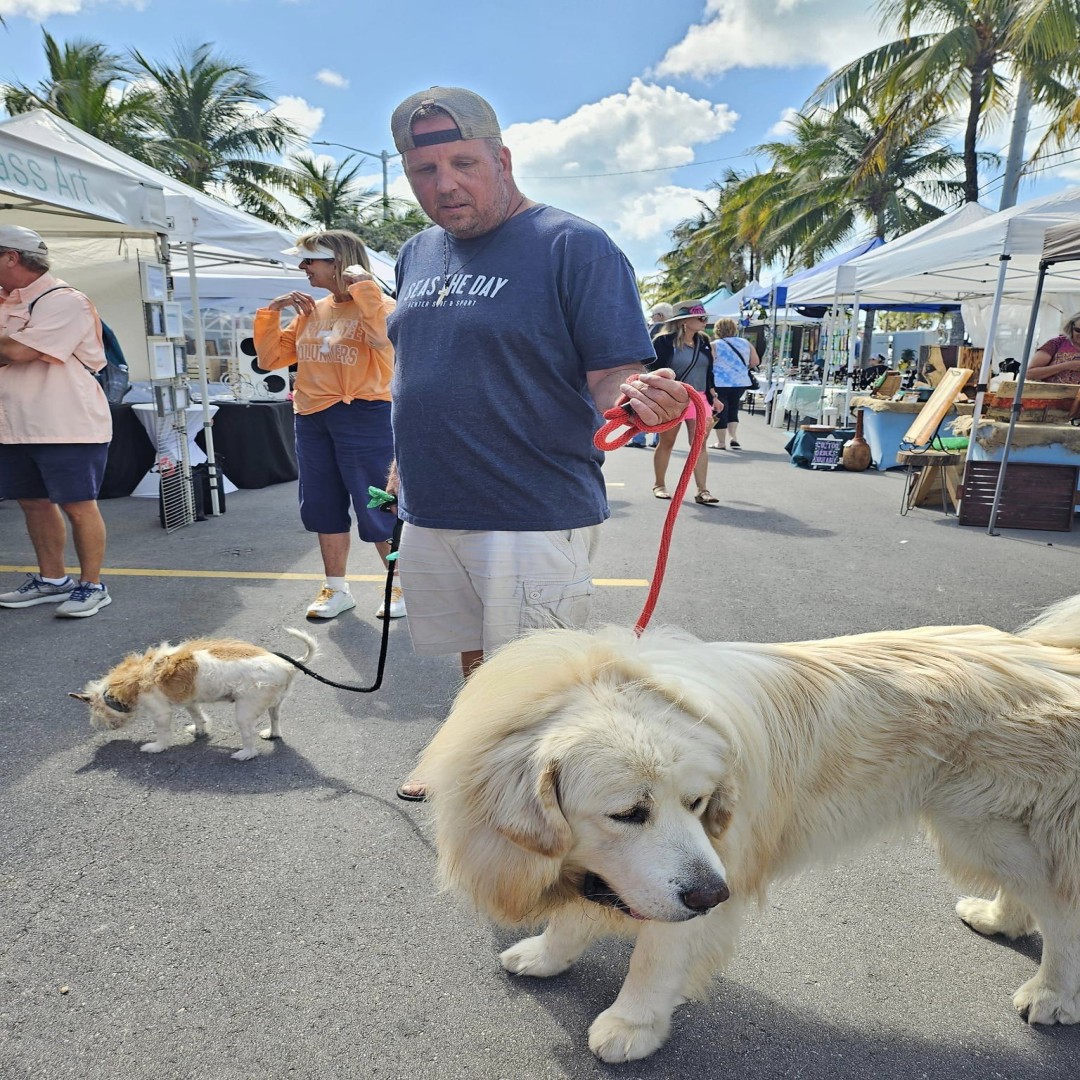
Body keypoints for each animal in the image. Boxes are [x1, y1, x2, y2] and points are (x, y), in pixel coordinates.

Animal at [70, 626, 315, 760]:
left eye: (97, 714)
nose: (104, 728)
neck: (129, 682)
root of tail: (288, 665)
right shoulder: (189, 699)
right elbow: (197, 715)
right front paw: (199, 729)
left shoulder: (160, 713)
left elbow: (163, 733)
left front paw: (156, 747)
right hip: (275, 703)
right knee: (275, 718)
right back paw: (272, 733)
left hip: (245, 711)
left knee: (249, 737)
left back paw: (245, 753)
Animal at [419, 600, 1080, 1062]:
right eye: (628, 813)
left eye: (697, 802)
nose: (713, 894)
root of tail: (1057, 658)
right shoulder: (618, 871)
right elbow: (576, 915)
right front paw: (545, 955)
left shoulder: (711, 866)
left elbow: (655, 957)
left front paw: (632, 1025)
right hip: (993, 835)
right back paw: (999, 919)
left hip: (992, 830)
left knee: (1063, 915)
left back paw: (1051, 995)